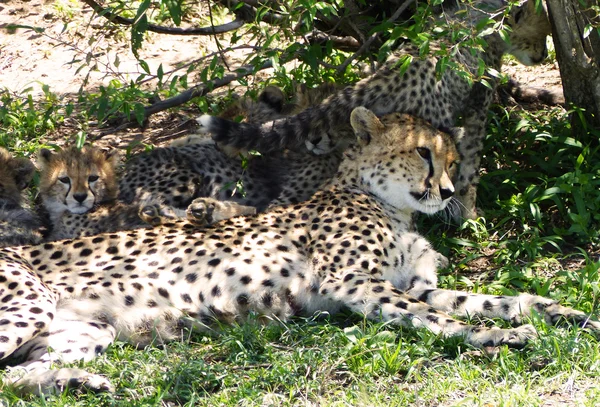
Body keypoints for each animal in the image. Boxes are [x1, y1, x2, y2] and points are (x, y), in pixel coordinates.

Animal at [1, 107, 596, 396]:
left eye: (452, 160)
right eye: (424, 154)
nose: (448, 191)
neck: (390, 205)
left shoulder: (417, 284)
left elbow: (500, 298)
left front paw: (561, 312)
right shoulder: (355, 283)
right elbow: (438, 318)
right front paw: (498, 338)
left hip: (86, 329)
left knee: (8, 380)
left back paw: (75, 381)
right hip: (30, 304)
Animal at [198, 0, 552, 220]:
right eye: (542, 33)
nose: (544, 55)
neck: (483, 15)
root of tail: (384, 76)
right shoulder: (478, 102)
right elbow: (470, 164)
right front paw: (468, 213)